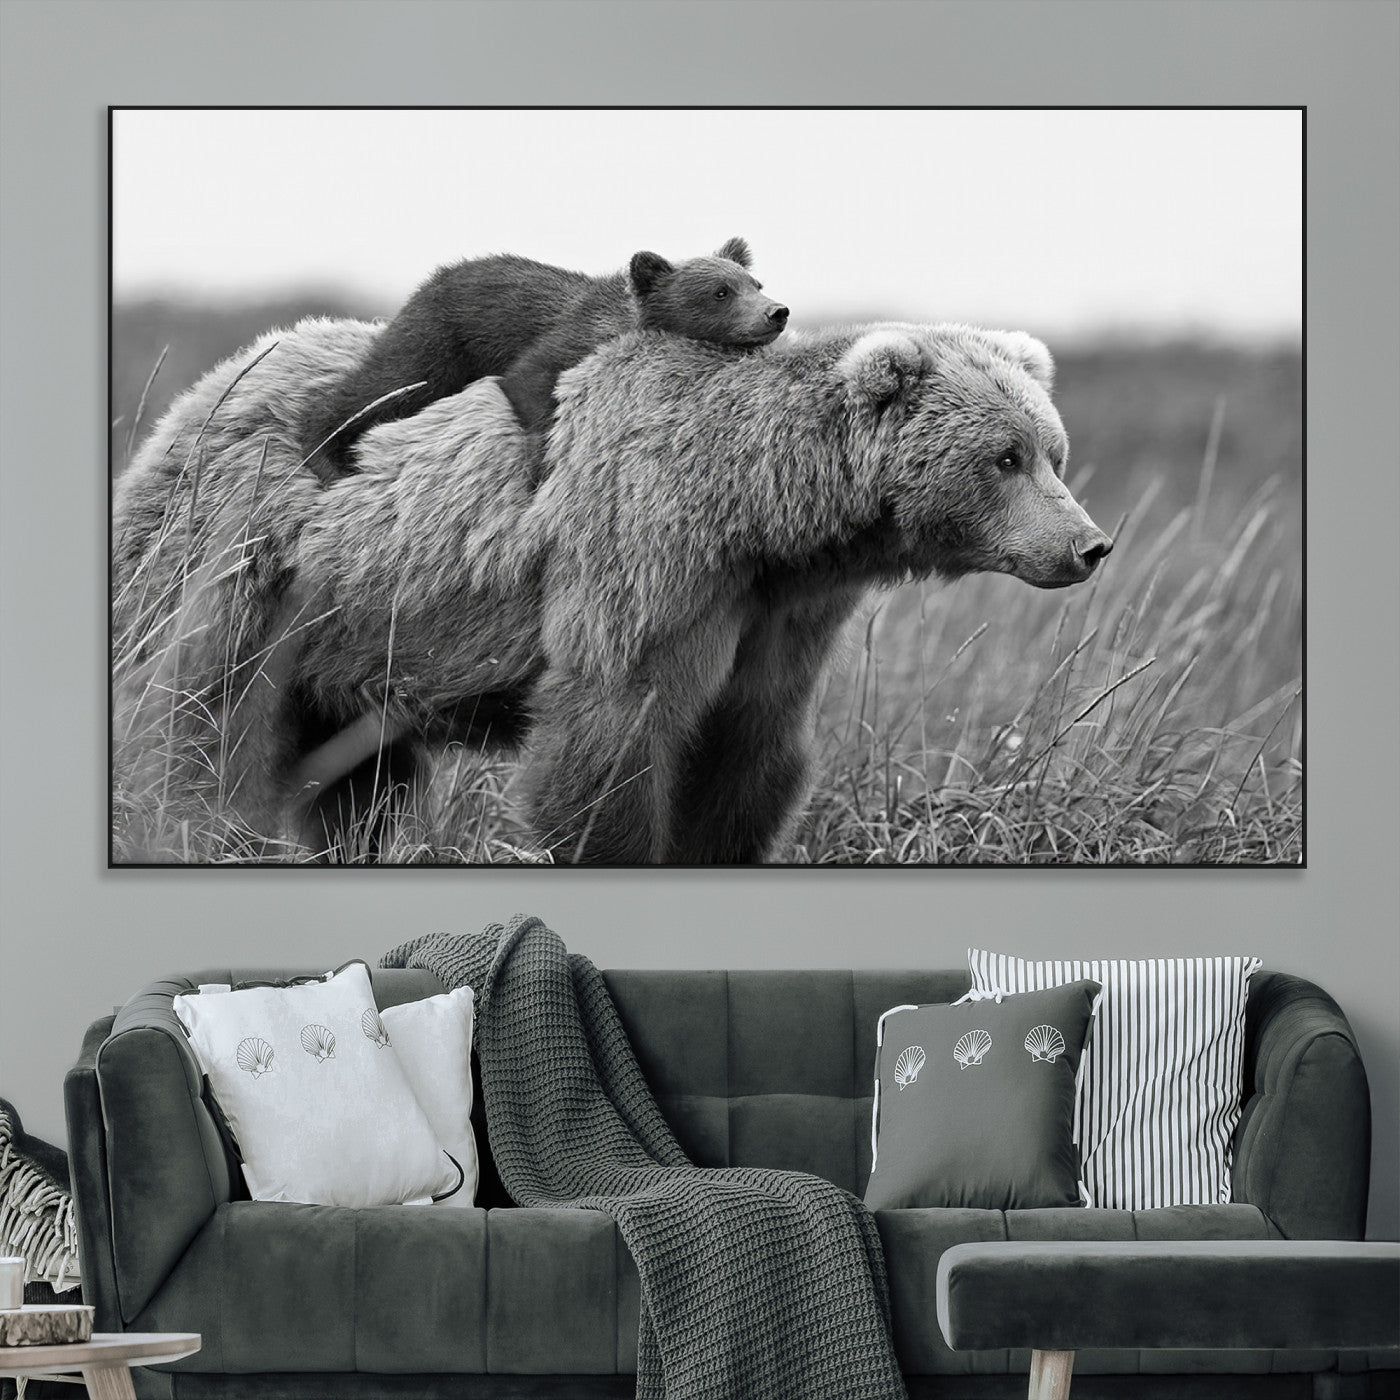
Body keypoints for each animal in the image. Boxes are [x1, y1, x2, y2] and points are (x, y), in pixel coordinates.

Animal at [111, 316, 1112, 864]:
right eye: (1005, 457)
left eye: (1053, 452)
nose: (1089, 544)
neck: (761, 514)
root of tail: (202, 389)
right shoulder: (645, 557)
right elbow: (610, 735)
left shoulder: (778, 615)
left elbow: (748, 753)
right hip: (247, 567)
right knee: (199, 725)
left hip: (353, 640)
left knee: (359, 782)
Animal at [301, 237, 788, 482]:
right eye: (720, 292)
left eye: (755, 283)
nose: (776, 312)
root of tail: (433, 277)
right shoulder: (566, 339)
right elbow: (529, 380)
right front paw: (541, 465)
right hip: (439, 340)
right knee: (384, 385)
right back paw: (325, 454)